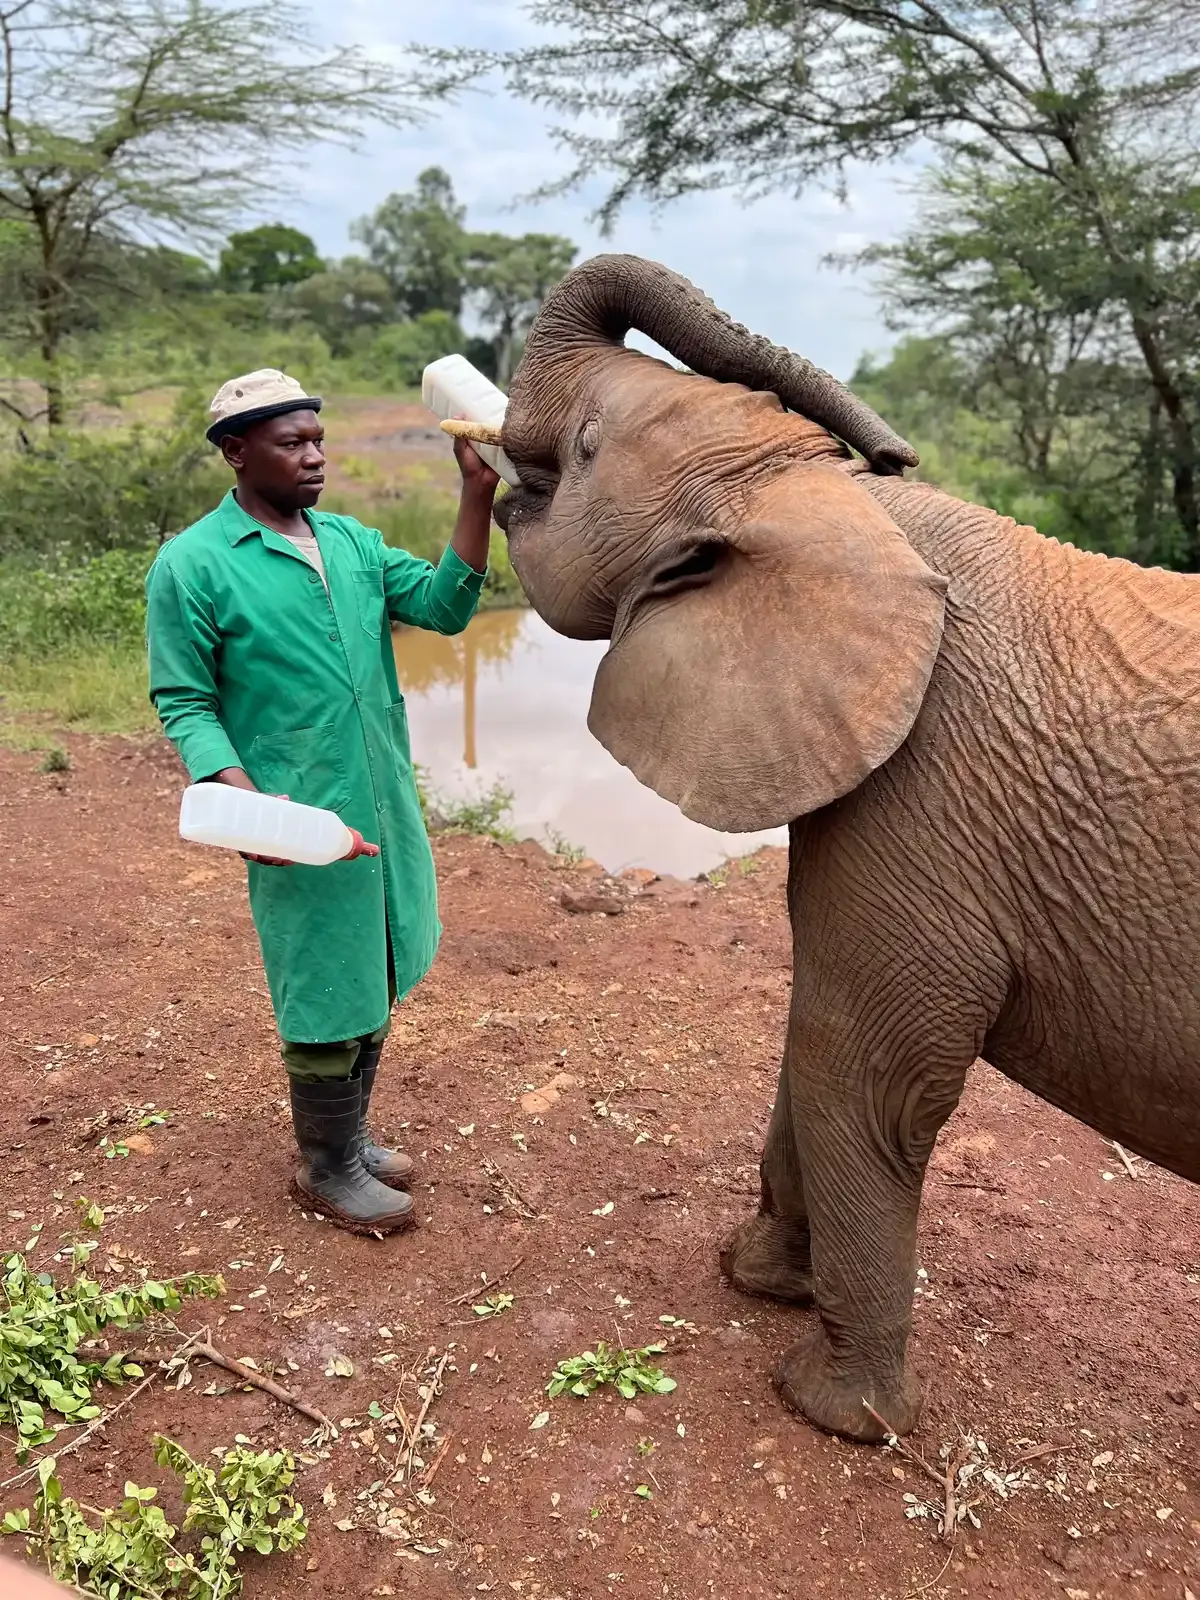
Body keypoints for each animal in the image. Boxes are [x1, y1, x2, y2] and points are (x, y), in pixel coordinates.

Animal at [491, 252, 1200, 1444]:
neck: (843, 508)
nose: (893, 446)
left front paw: (830, 1410)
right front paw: (754, 1277)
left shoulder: (927, 795)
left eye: (586, 445)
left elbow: (862, 1073)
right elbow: (811, 1039)